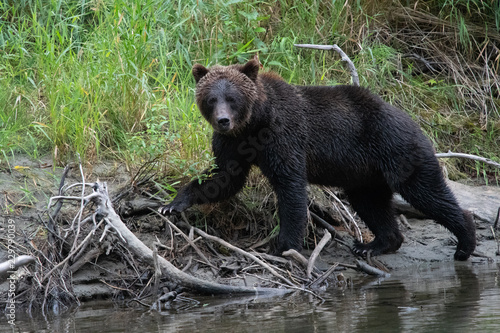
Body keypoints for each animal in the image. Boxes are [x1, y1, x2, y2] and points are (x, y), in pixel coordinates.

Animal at [159, 58, 476, 260]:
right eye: (211, 99)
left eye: (233, 97)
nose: (223, 120)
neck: (253, 124)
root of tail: (414, 120)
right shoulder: (233, 144)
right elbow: (224, 177)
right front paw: (173, 203)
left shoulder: (283, 137)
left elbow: (289, 188)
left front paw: (283, 245)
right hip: (364, 174)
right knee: (371, 204)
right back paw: (375, 244)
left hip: (396, 149)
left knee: (426, 192)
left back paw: (464, 241)